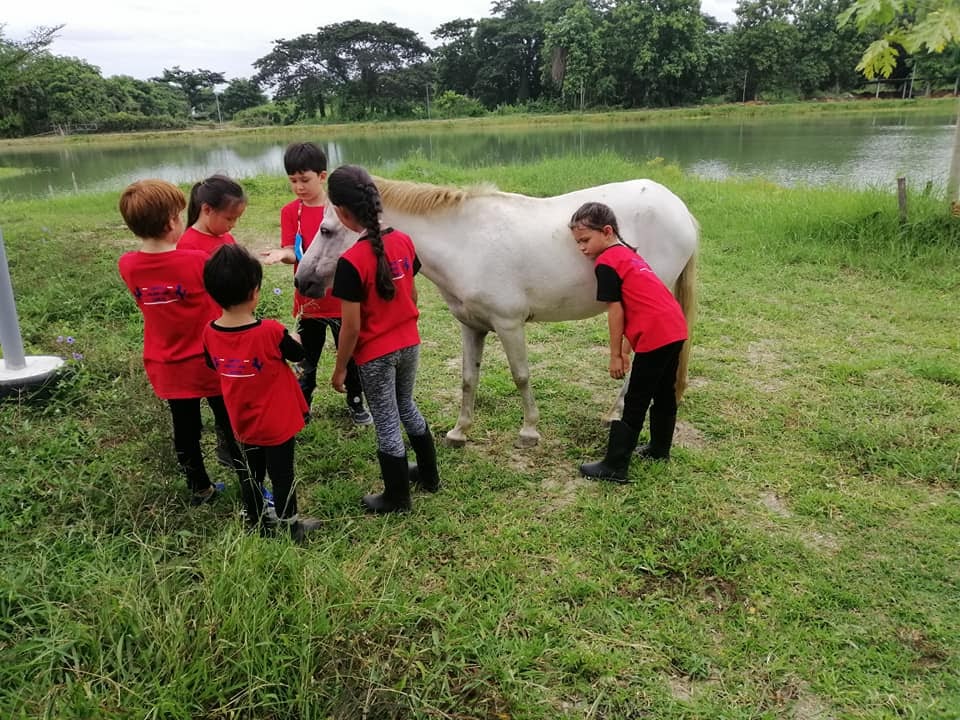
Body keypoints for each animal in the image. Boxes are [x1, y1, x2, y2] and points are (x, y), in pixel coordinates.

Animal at [294, 177, 696, 448]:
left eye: (326, 230)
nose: (302, 280)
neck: (464, 242)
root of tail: (681, 210)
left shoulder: (508, 324)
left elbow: (521, 376)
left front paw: (529, 431)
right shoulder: (472, 326)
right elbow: (468, 379)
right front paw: (460, 431)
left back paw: (615, 413)